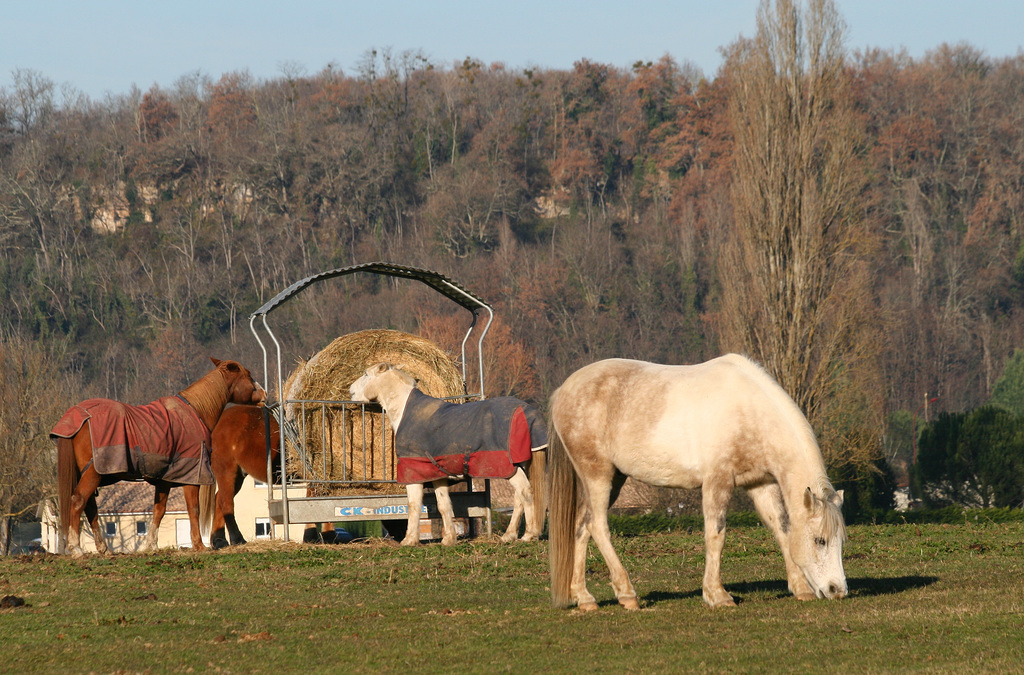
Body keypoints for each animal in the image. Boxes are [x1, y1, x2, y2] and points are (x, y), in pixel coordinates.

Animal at [54, 358, 266, 553]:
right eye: (248, 375)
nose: (264, 394)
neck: (196, 411)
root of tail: (78, 415)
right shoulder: (191, 476)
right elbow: (193, 509)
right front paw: (198, 545)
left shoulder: (165, 479)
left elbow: (159, 511)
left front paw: (151, 545)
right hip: (94, 473)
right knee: (79, 500)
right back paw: (76, 548)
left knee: (90, 506)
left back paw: (102, 548)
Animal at [348, 364, 548, 544]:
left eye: (366, 374)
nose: (350, 391)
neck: (405, 412)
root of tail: (527, 412)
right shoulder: (437, 475)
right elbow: (444, 505)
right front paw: (449, 539)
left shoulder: (413, 473)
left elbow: (413, 505)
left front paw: (409, 540)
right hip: (521, 464)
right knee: (519, 497)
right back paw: (509, 535)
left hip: (508, 467)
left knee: (526, 492)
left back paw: (529, 534)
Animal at [552, 356, 847, 610]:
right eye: (820, 540)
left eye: (840, 541)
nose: (837, 590)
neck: (748, 411)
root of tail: (562, 391)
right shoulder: (718, 481)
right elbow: (716, 535)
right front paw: (717, 595)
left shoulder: (760, 485)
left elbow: (783, 530)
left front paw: (800, 588)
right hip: (598, 475)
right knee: (597, 525)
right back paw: (627, 594)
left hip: (613, 479)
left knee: (581, 526)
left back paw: (585, 598)